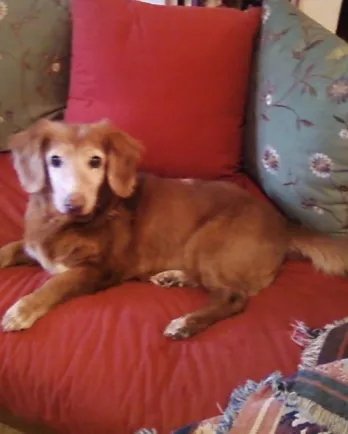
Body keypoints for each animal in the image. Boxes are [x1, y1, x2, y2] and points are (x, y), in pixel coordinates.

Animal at [0, 119, 348, 340]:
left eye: (96, 161)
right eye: (55, 160)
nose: (74, 203)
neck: (62, 223)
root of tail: (284, 224)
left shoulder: (98, 269)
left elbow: (53, 284)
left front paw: (21, 310)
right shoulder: (33, 246)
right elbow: (10, 248)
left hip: (210, 241)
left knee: (233, 296)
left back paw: (185, 324)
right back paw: (173, 277)